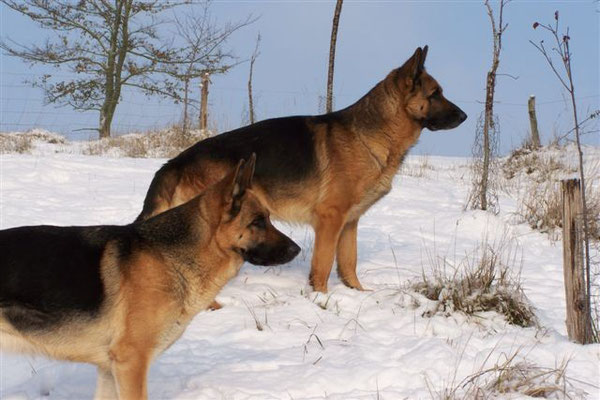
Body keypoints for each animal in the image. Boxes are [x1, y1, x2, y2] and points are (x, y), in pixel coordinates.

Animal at [0, 155, 300, 400]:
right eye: (258, 222)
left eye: (268, 218)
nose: (297, 250)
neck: (170, 258)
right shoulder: (131, 363)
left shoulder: (110, 370)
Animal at [137, 45, 468, 292]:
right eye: (435, 94)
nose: (465, 116)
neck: (371, 134)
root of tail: (176, 161)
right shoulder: (330, 221)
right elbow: (322, 267)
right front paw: (321, 300)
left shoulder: (350, 222)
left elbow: (349, 264)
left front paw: (357, 294)